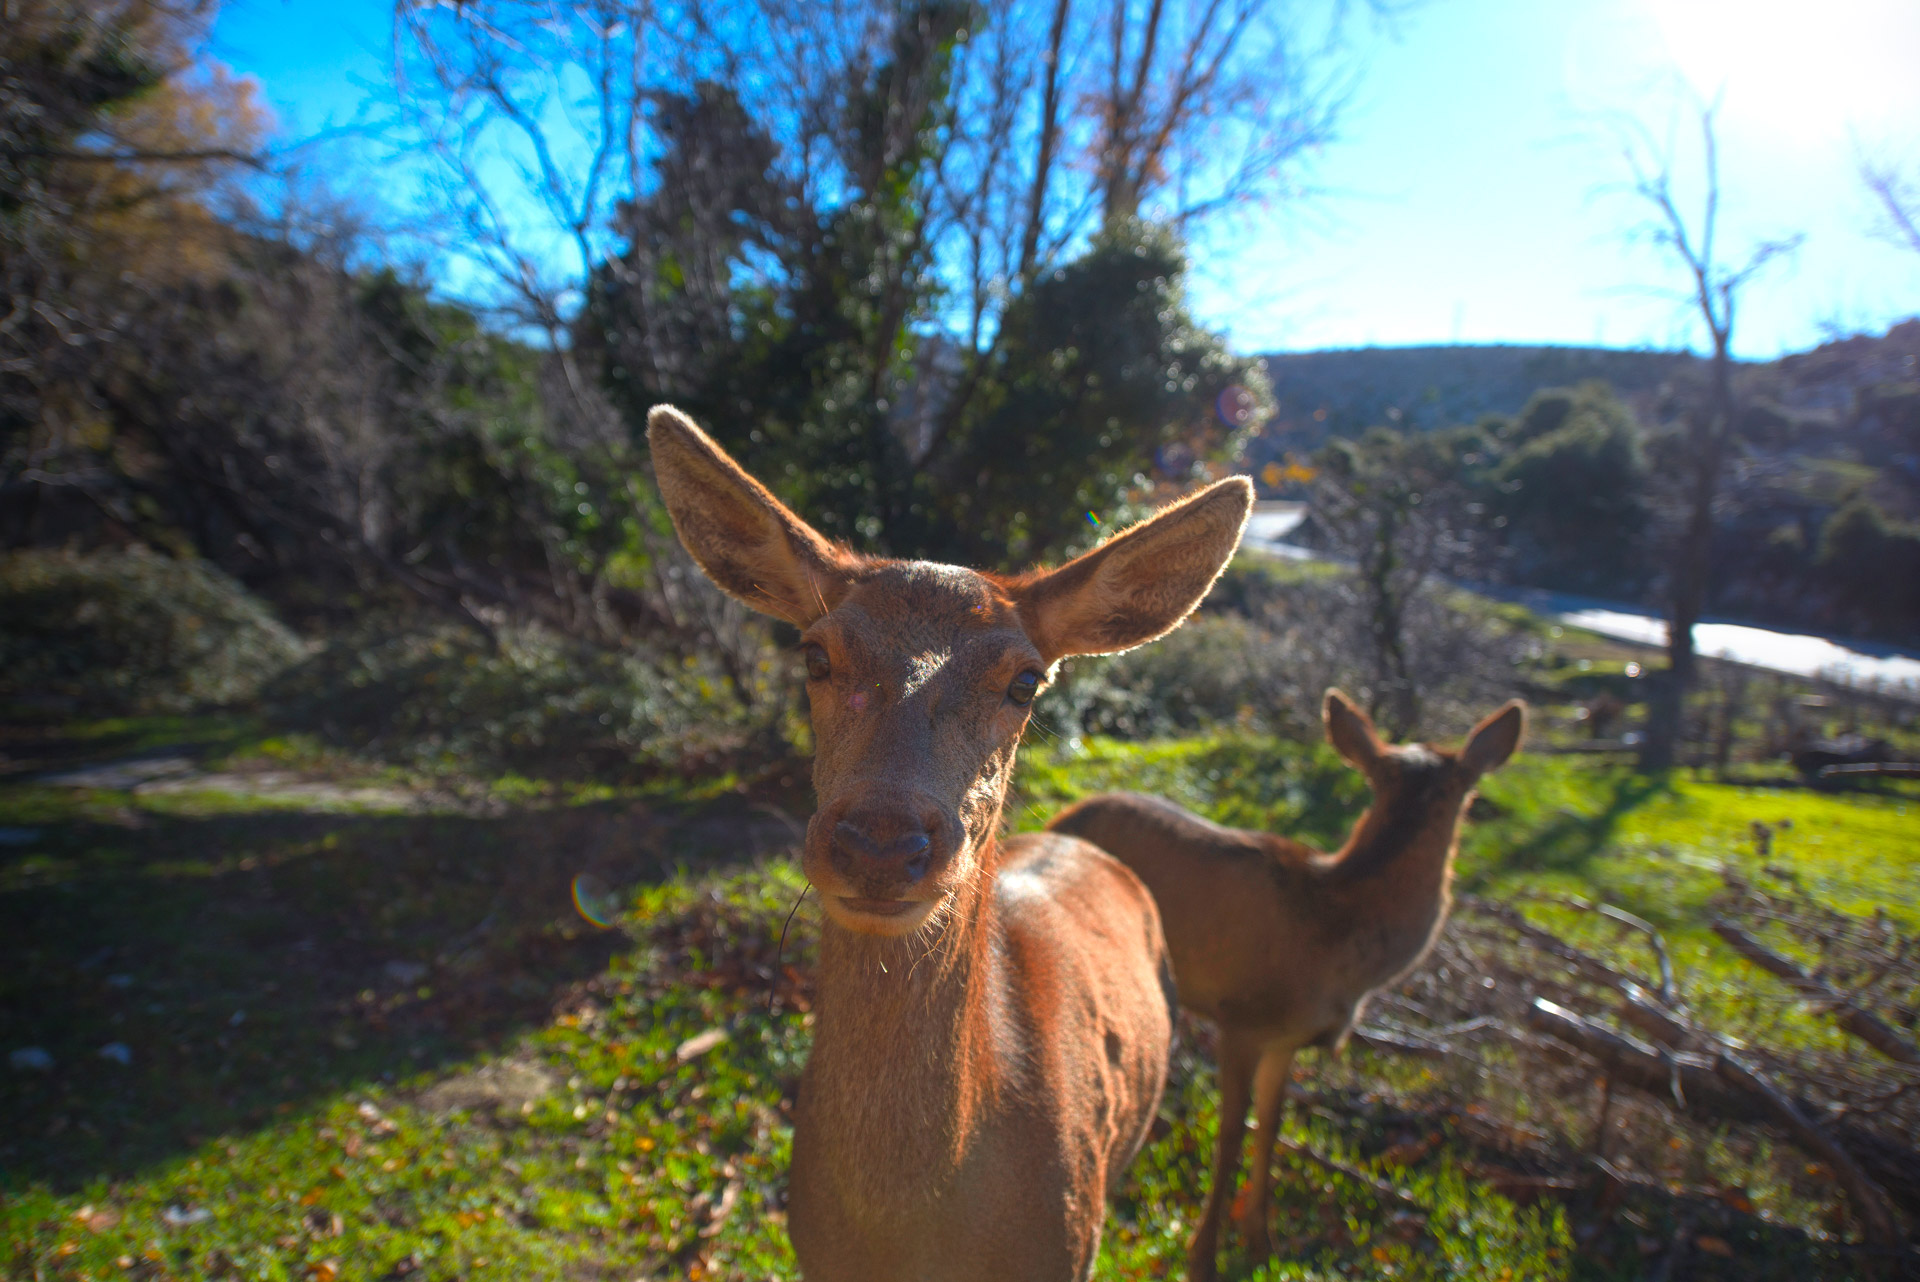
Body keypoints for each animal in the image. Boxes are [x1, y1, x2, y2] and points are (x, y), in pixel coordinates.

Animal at [1044, 690, 1520, 1282]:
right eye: (1469, 795)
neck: (1333, 943)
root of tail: (1062, 816)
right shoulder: (1242, 1017)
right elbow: (1229, 1131)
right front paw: (1203, 1254)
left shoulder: (1286, 1039)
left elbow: (1269, 1124)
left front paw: (1260, 1243)